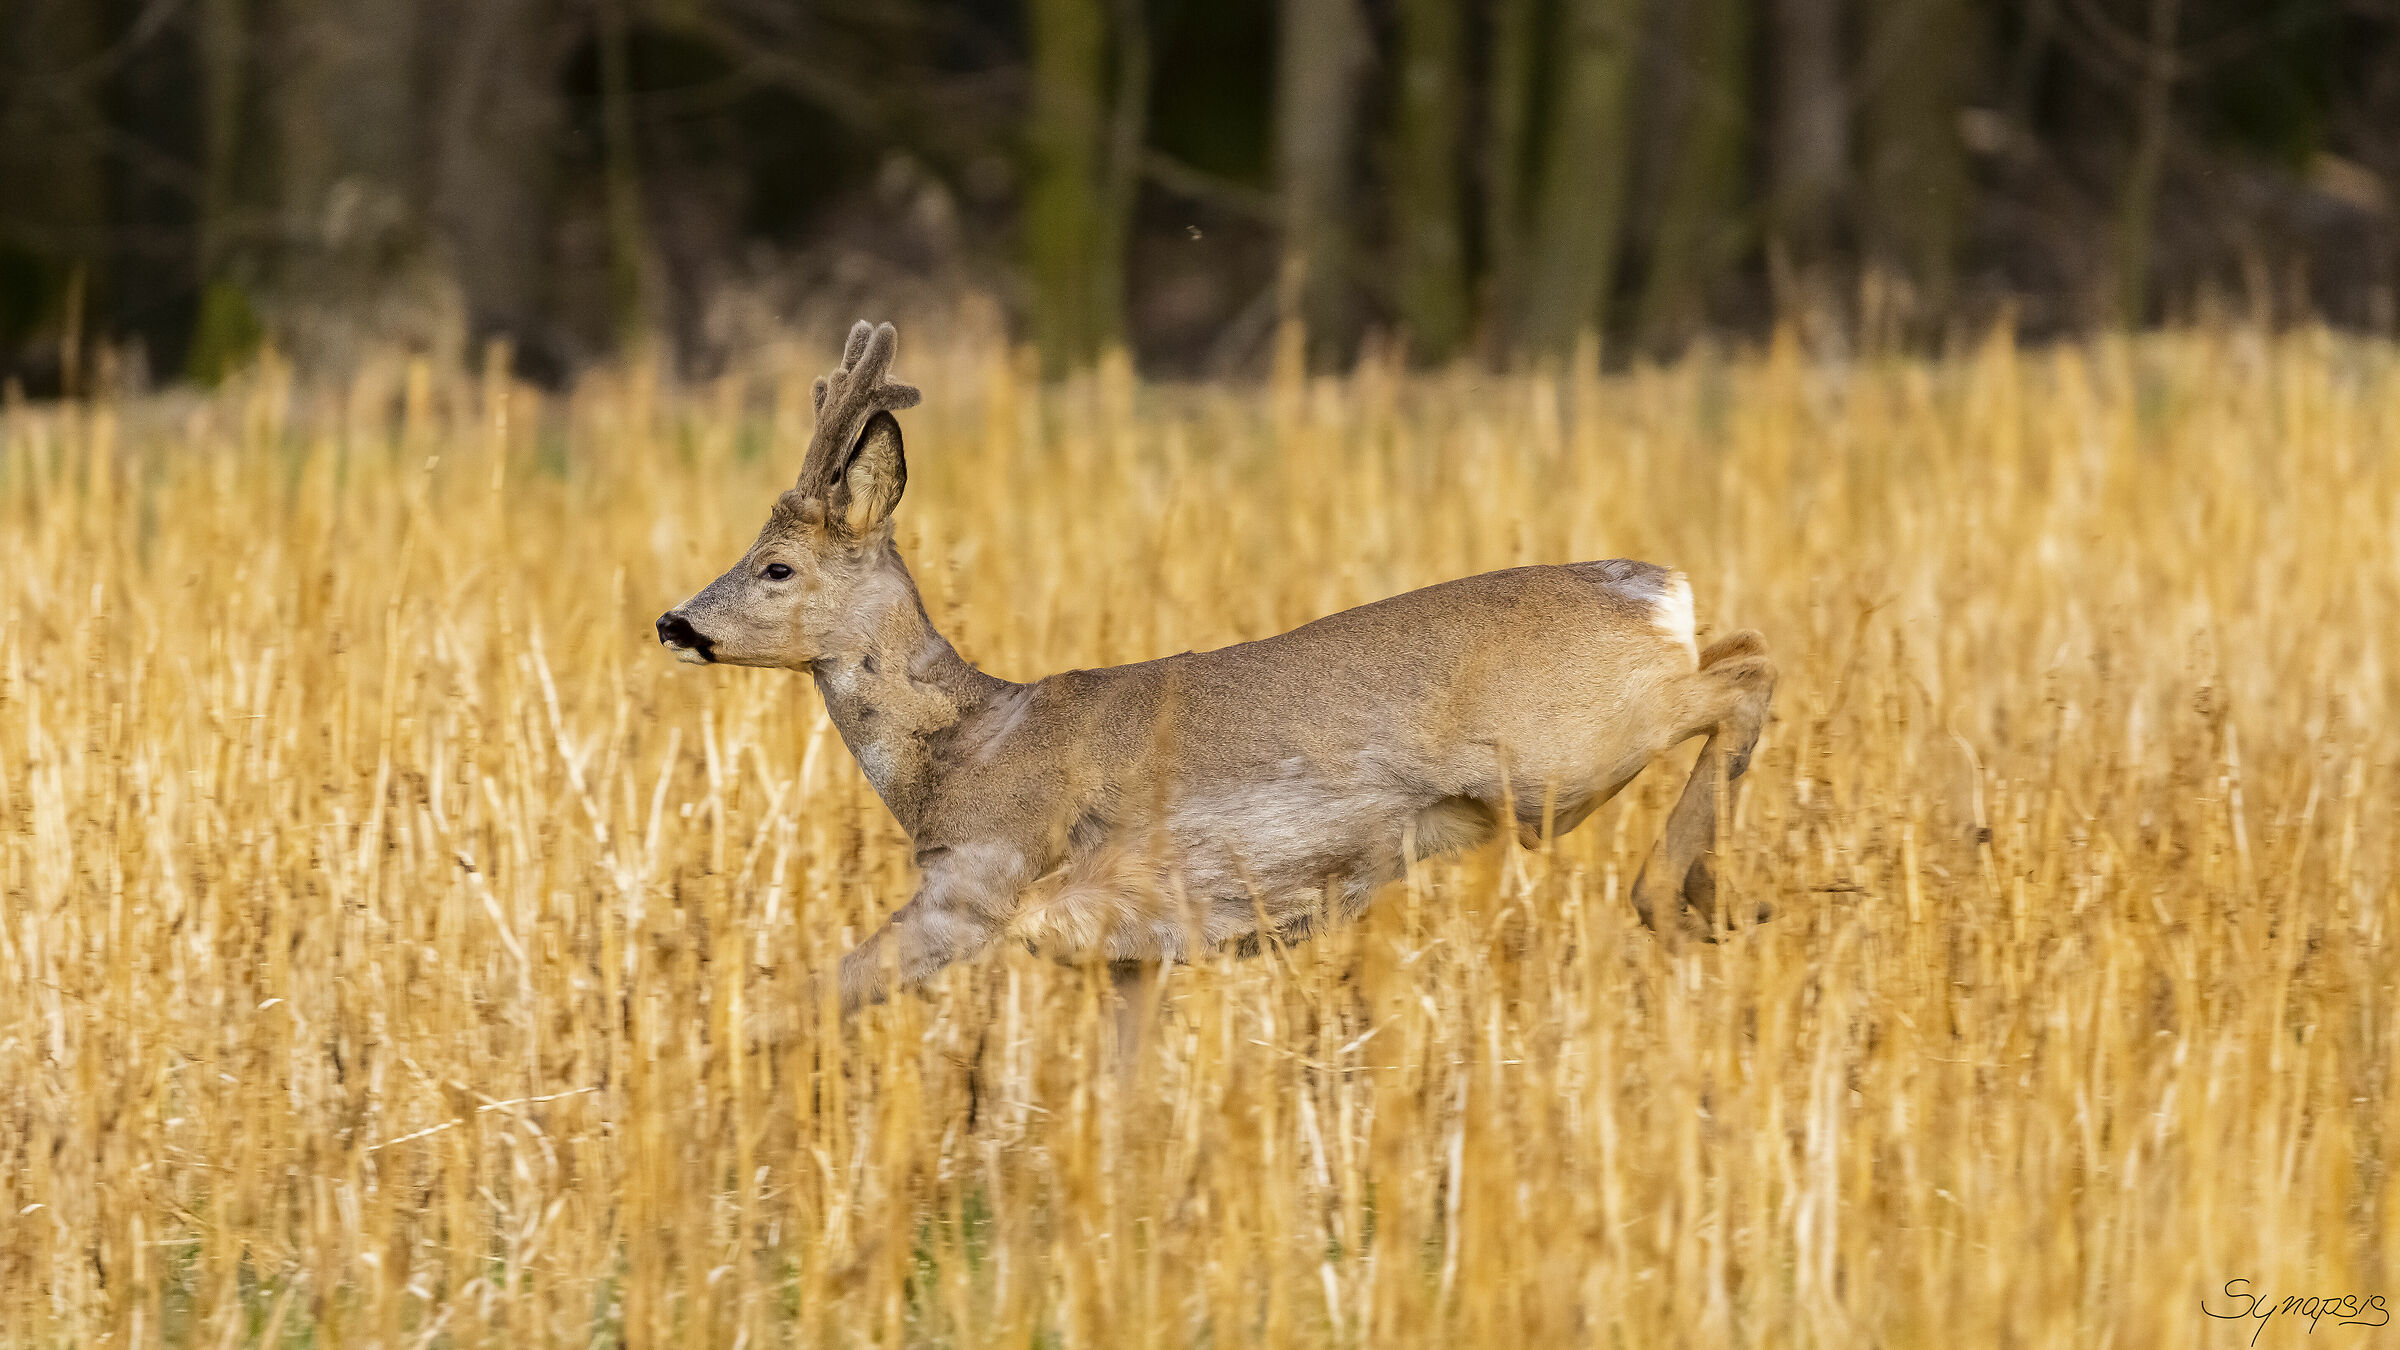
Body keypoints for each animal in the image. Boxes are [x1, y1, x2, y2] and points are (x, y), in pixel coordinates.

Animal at [656, 321, 1777, 1024]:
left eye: (775, 566)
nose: (673, 621)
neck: (965, 749)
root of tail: (1655, 588)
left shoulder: (979, 881)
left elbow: (807, 1003)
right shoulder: (1127, 952)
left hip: (1556, 756)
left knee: (1743, 673)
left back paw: (1671, 898)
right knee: (1740, 651)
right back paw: (1717, 898)